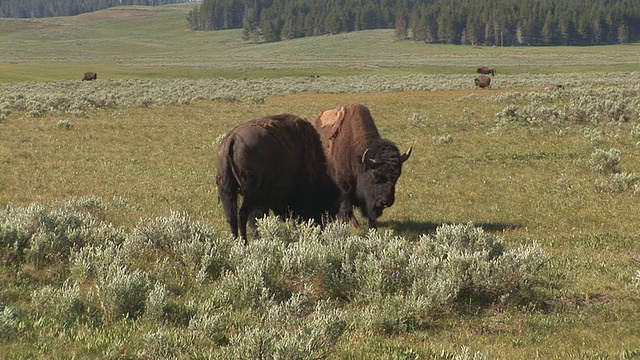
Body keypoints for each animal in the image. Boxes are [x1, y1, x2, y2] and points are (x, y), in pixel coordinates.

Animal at [215, 114, 344, 243]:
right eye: (325, 207)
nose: (321, 230)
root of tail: (232, 138)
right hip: (250, 195)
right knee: (243, 215)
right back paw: (245, 242)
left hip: (227, 190)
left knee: (232, 217)